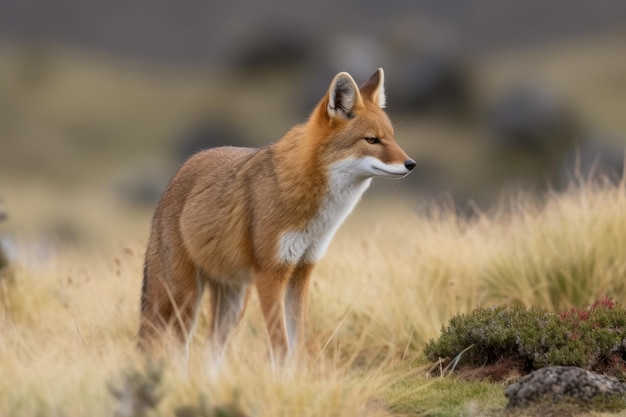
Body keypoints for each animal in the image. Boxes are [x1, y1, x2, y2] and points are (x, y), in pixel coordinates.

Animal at [140, 66, 416, 362]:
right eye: (372, 140)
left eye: (392, 138)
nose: (411, 164)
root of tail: (177, 174)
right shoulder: (270, 274)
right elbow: (280, 347)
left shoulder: (302, 271)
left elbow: (297, 343)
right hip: (183, 299)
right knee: (174, 348)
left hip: (233, 302)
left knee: (210, 350)